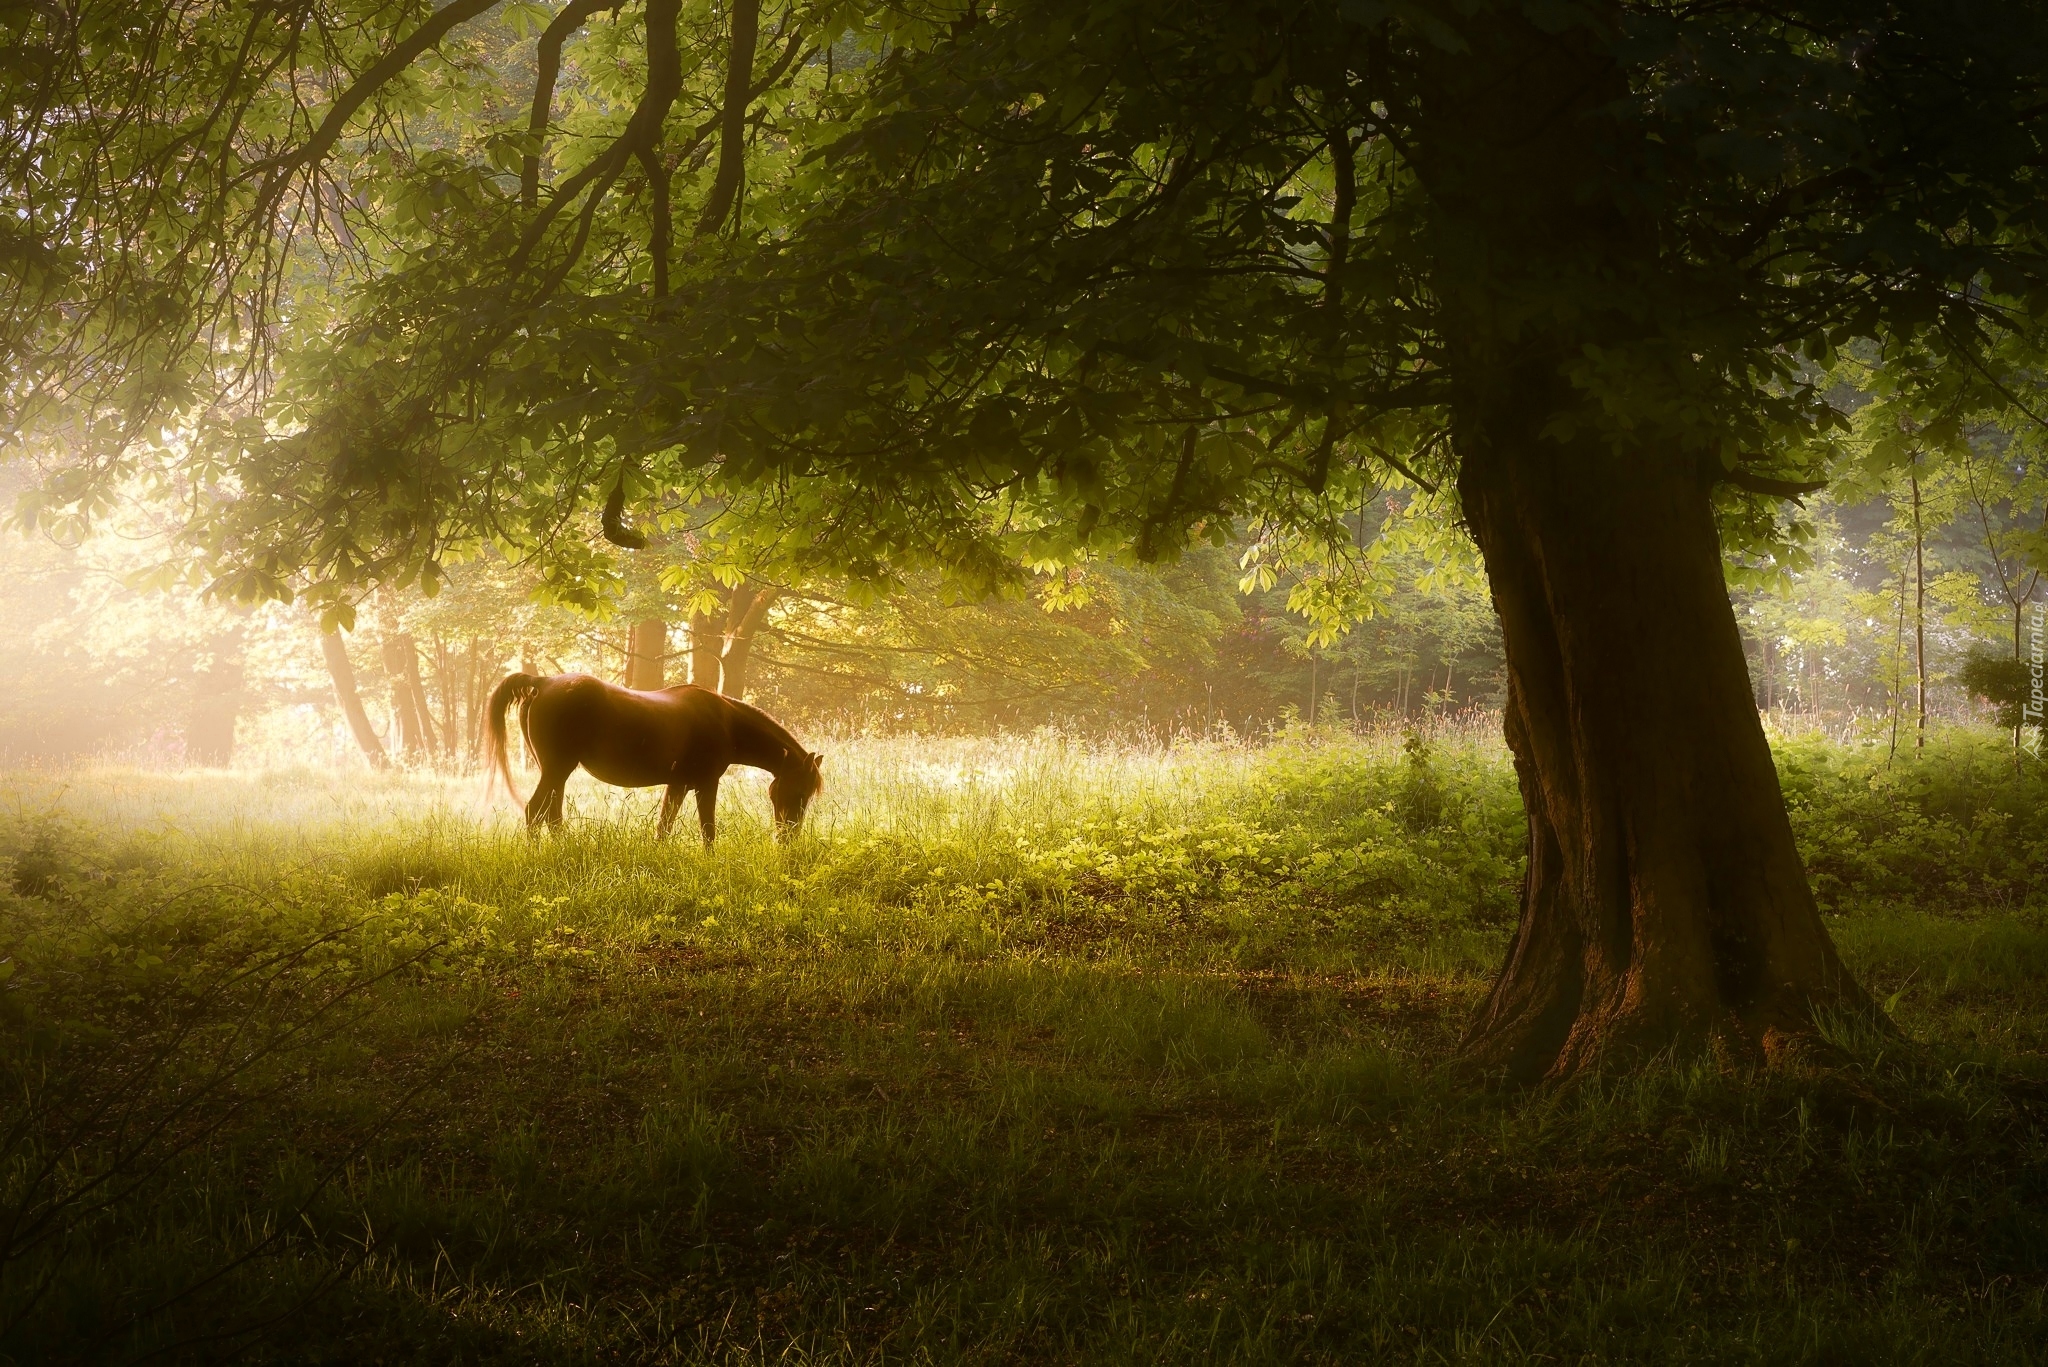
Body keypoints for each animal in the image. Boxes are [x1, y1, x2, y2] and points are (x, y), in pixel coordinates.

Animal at [485, 672, 823, 844]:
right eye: (799, 791)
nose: (788, 839)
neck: (725, 721)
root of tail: (542, 682)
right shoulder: (705, 784)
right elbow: (708, 831)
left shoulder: (678, 785)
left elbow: (664, 827)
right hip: (557, 769)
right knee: (534, 812)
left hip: (557, 772)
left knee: (551, 816)